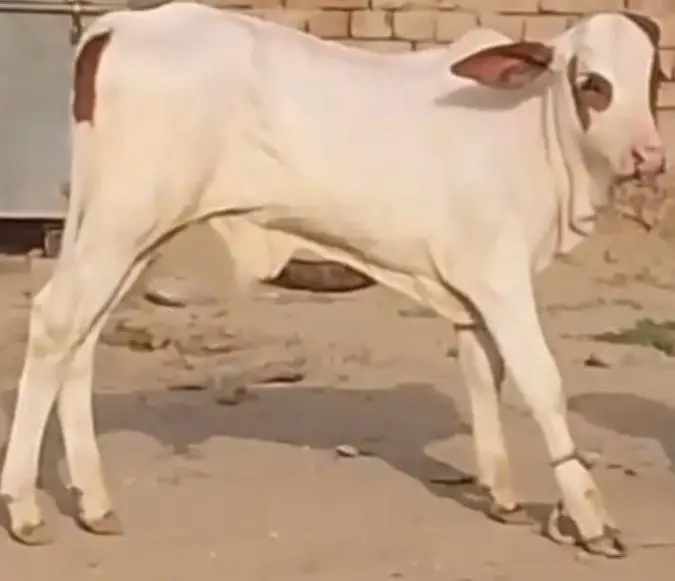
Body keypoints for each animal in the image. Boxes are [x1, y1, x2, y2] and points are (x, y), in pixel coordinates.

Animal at [0, 2, 666, 558]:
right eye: (594, 84)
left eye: (654, 79)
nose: (650, 155)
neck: (529, 131)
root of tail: (119, 26)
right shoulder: (501, 280)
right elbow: (544, 385)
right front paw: (591, 519)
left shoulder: (470, 287)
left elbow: (485, 376)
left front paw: (501, 495)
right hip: (124, 219)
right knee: (58, 322)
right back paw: (25, 508)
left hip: (130, 231)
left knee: (83, 337)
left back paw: (93, 502)